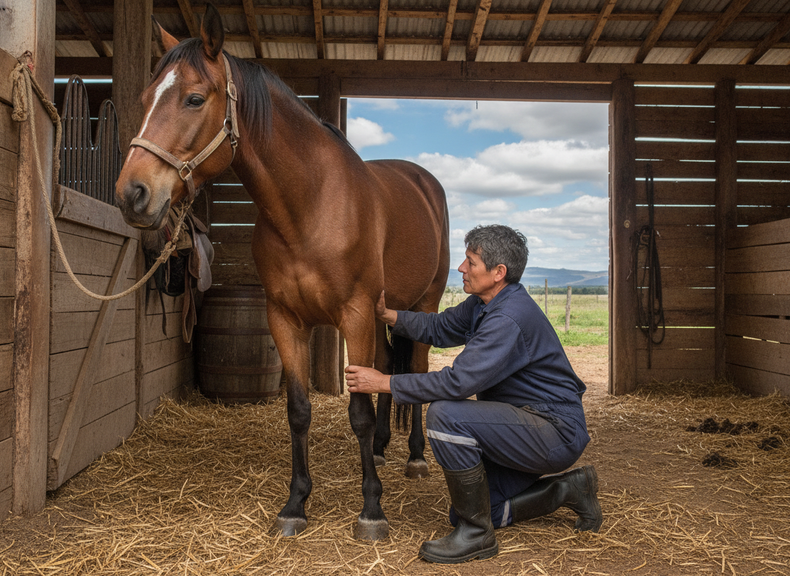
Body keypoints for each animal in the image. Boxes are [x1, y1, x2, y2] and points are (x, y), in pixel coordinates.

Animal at [114, 3, 449, 541]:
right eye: (146, 99)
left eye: (194, 98)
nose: (132, 194)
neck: (310, 205)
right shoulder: (285, 319)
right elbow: (298, 412)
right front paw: (296, 504)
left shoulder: (354, 314)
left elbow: (356, 410)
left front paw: (371, 510)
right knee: (386, 370)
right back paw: (380, 447)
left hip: (424, 303)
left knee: (413, 370)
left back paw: (415, 458)